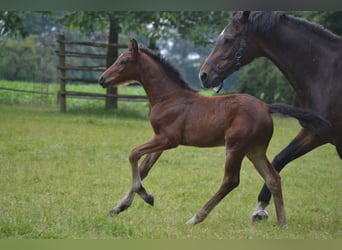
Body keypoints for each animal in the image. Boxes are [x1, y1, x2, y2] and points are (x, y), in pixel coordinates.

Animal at [99, 38, 328, 226]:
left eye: (124, 61)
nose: (102, 79)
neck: (168, 97)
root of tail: (266, 106)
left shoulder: (168, 139)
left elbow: (133, 154)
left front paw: (145, 196)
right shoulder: (161, 141)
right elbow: (144, 168)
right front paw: (120, 206)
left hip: (235, 146)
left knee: (230, 181)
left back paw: (196, 218)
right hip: (255, 150)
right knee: (273, 178)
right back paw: (282, 222)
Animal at [199, 11, 340, 223]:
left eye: (228, 39)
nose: (204, 75)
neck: (325, 73)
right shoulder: (316, 132)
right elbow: (279, 159)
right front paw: (260, 209)